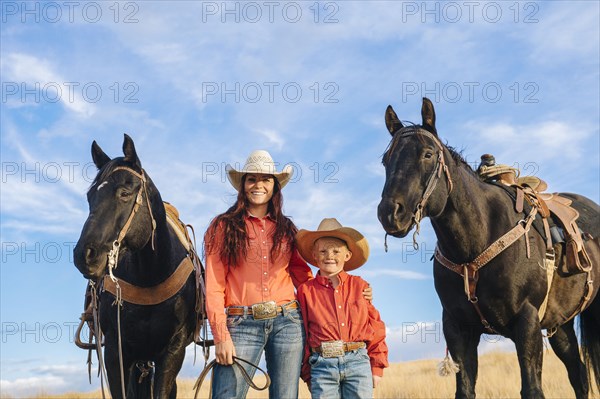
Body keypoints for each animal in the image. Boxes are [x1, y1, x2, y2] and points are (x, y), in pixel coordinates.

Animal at [378, 98, 600, 398]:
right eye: (385, 160)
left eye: (427, 154)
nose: (390, 213)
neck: (475, 244)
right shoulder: (458, 330)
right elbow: (465, 389)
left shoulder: (527, 324)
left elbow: (532, 389)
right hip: (560, 323)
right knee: (578, 374)